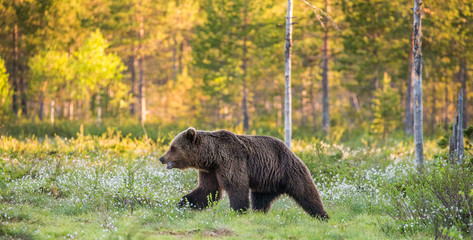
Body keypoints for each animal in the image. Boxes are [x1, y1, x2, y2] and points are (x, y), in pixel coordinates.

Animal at [159, 127, 328, 219]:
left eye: (173, 147)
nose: (161, 158)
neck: (212, 157)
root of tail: (291, 150)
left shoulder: (231, 161)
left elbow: (236, 186)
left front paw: (238, 211)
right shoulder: (210, 171)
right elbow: (208, 190)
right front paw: (182, 203)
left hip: (287, 169)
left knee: (306, 192)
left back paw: (322, 216)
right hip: (266, 182)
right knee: (261, 200)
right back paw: (259, 213)